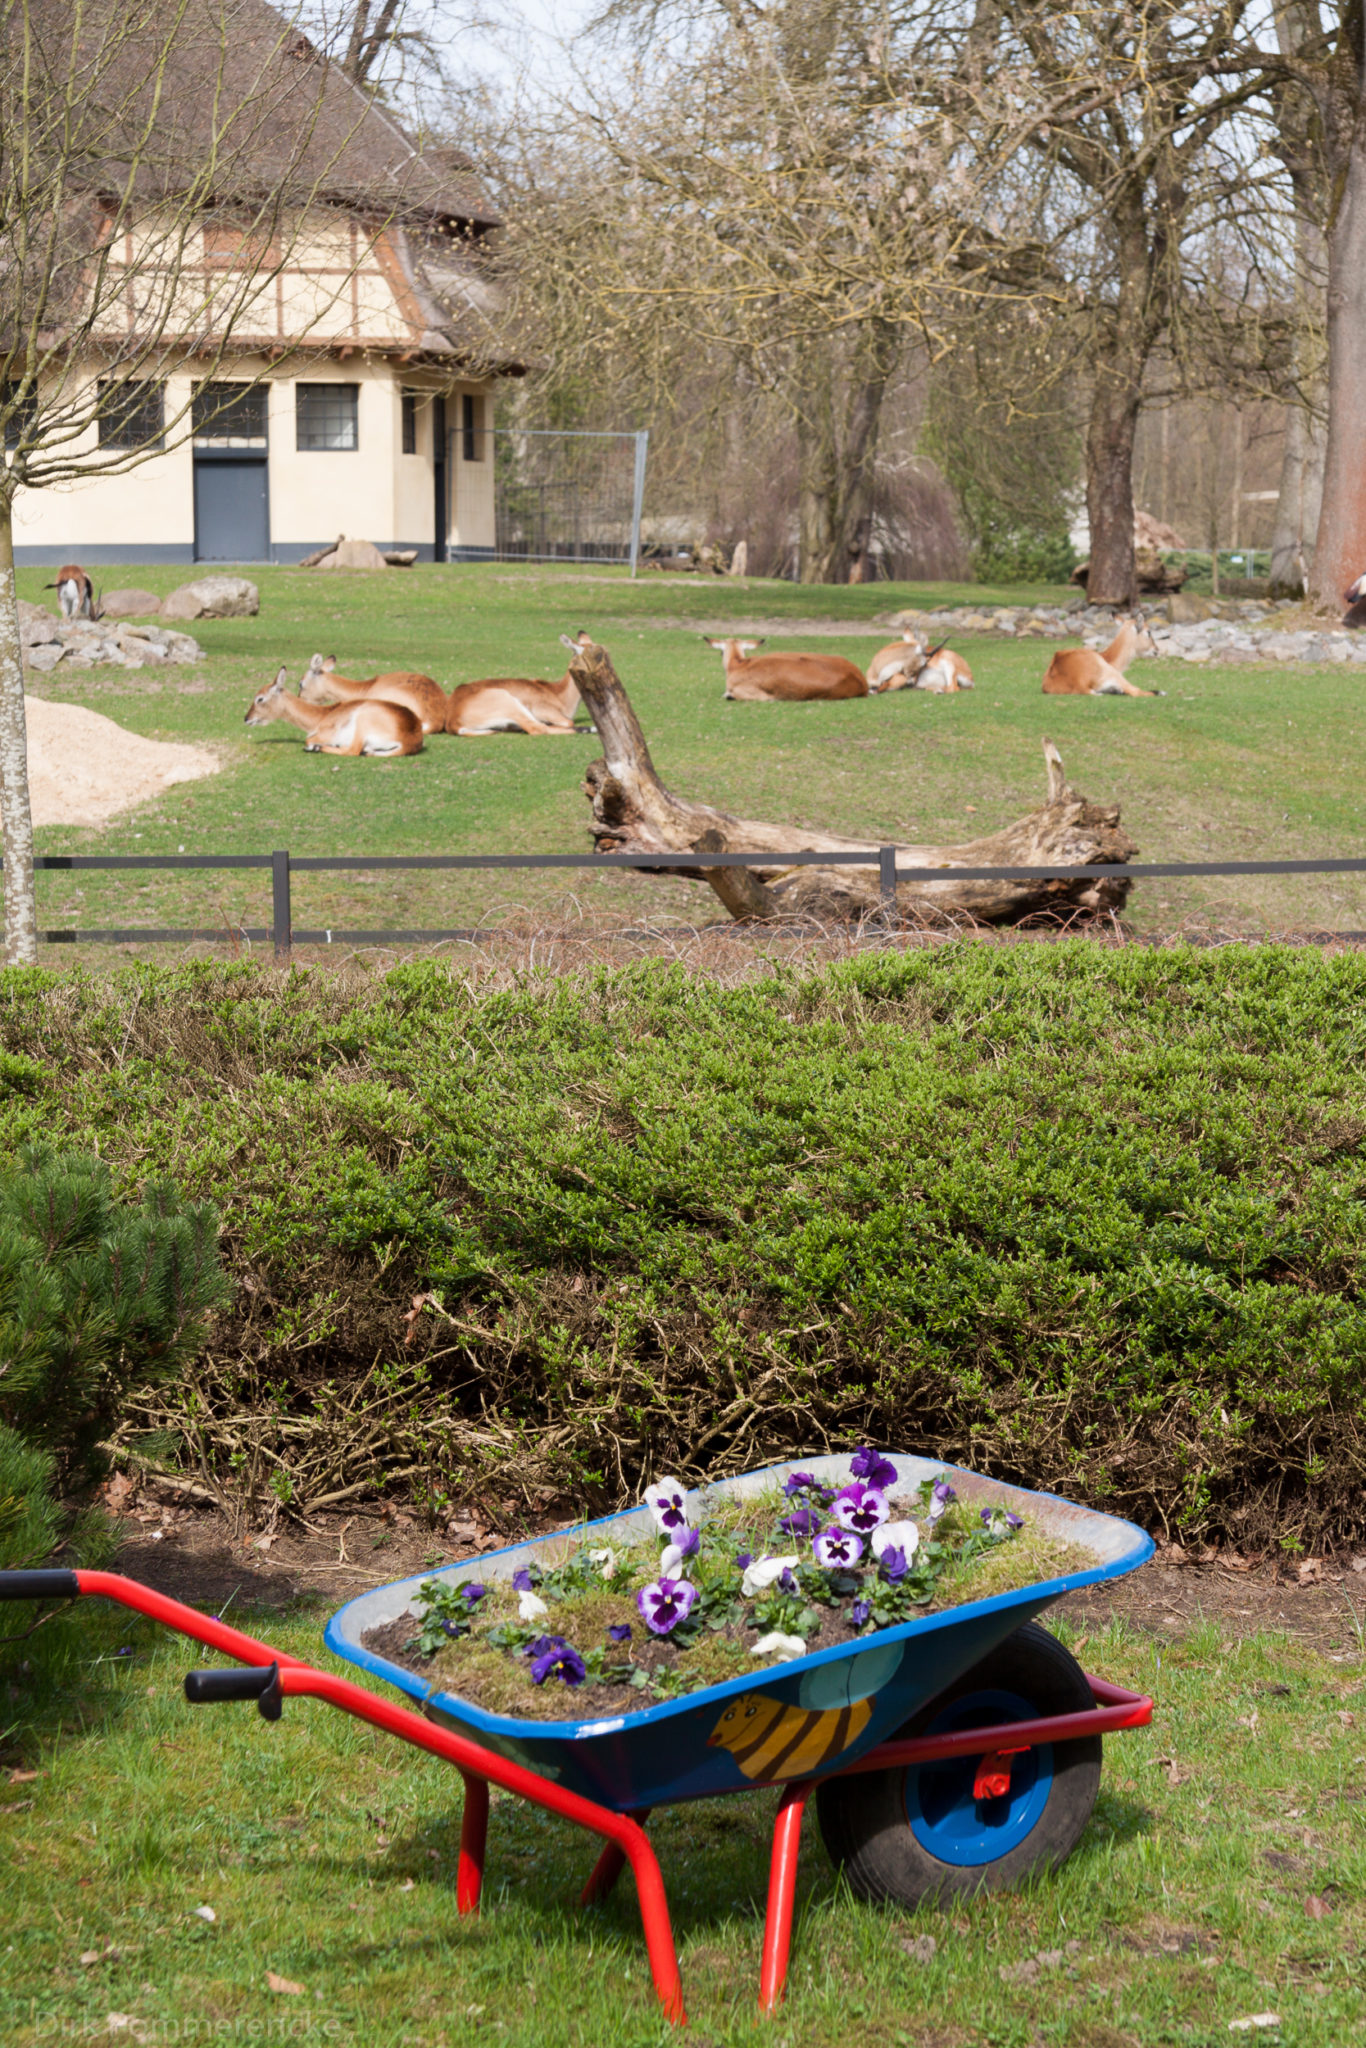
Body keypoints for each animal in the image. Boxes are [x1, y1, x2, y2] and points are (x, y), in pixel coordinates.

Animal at [245, 667, 423, 757]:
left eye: (260, 698)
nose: (246, 718)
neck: (321, 716)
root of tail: (412, 737)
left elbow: (308, 740)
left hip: (363, 721)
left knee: (353, 750)